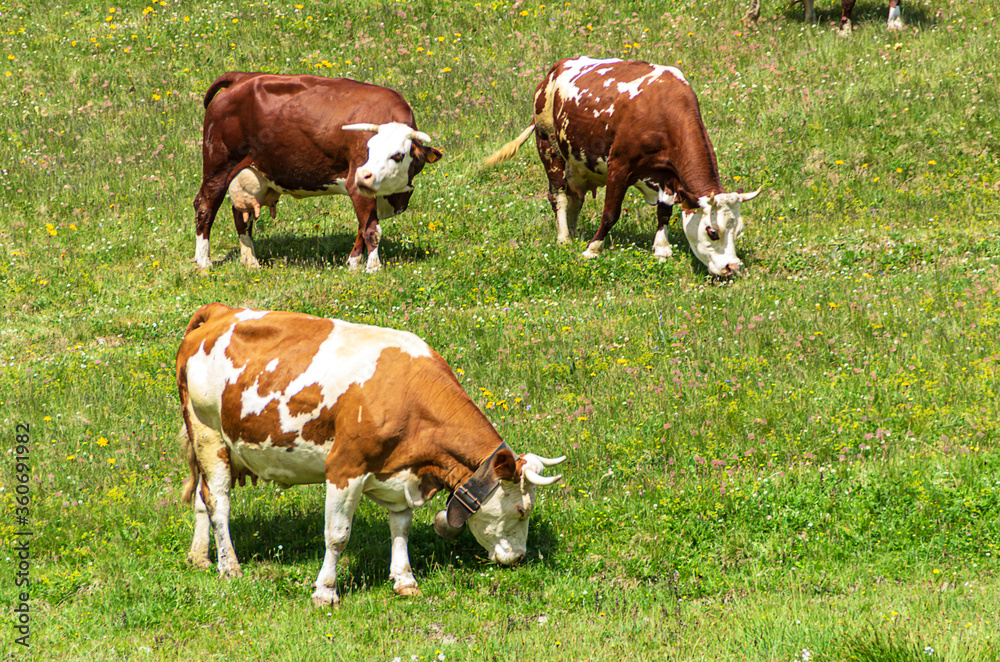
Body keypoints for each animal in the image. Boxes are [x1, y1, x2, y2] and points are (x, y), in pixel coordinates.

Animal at [177, 303, 565, 606]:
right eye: (522, 510)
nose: (518, 558)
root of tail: (220, 312)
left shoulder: (402, 473)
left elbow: (401, 527)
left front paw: (405, 580)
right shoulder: (344, 468)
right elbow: (337, 535)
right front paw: (325, 592)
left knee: (201, 496)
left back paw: (199, 557)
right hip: (207, 432)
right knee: (219, 501)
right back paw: (229, 567)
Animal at [193, 73, 442, 273]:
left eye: (398, 155)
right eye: (369, 149)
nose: (364, 175)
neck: (393, 194)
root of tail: (242, 77)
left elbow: (363, 227)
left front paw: (353, 263)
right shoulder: (356, 185)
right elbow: (372, 229)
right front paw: (373, 267)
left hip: (250, 172)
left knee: (240, 214)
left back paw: (251, 262)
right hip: (218, 165)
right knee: (205, 206)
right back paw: (203, 262)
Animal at [484, 57, 760, 278]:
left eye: (739, 230)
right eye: (712, 231)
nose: (733, 268)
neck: (662, 110)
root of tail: (554, 70)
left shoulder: (668, 175)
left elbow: (664, 211)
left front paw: (662, 249)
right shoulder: (619, 167)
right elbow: (610, 213)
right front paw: (592, 249)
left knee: (574, 198)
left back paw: (572, 232)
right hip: (549, 148)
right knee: (559, 196)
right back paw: (564, 238)